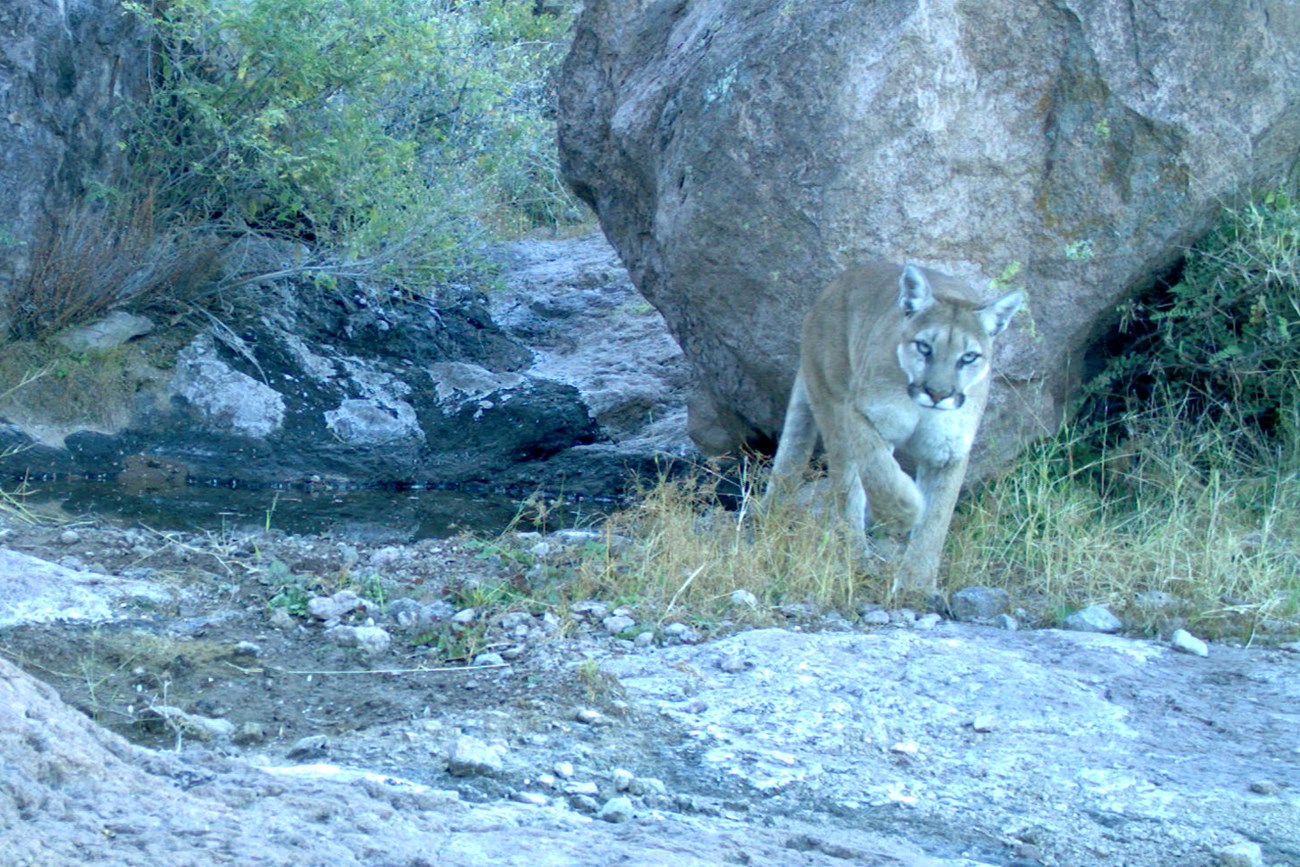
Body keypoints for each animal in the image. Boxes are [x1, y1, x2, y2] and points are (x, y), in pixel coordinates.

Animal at [759, 261, 1024, 592]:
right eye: (924, 347)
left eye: (969, 357)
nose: (938, 394)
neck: (922, 410)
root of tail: (832, 288)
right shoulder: (859, 413)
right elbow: (880, 471)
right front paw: (902, 514)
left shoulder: (948, 452)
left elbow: (937, 518)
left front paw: (916, 586)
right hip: (832, 404)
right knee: (848, 490)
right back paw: (858, 556)